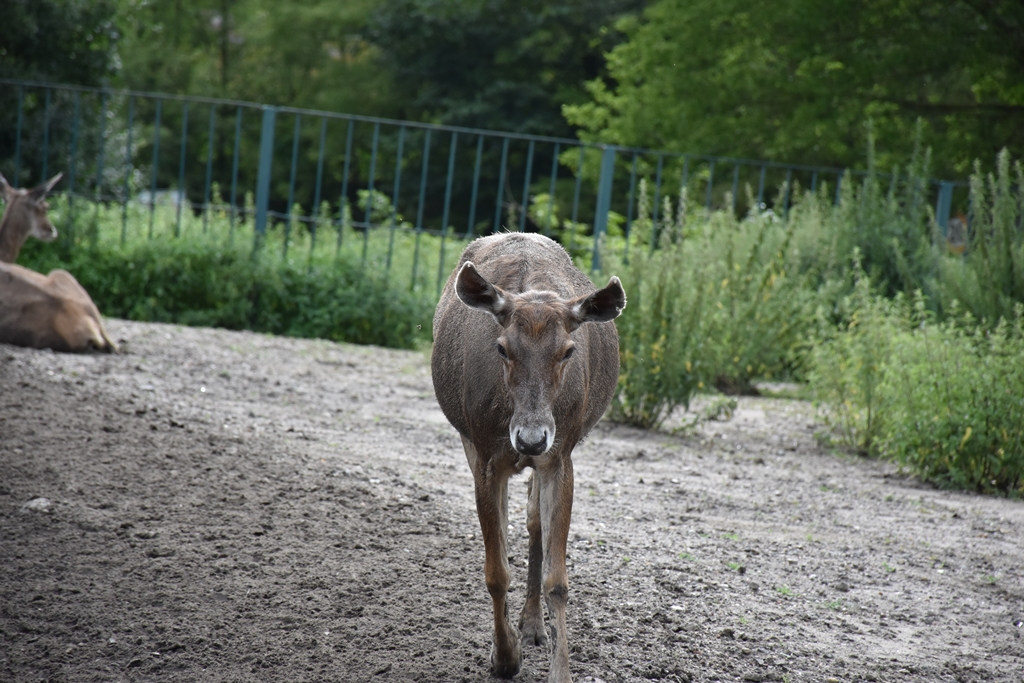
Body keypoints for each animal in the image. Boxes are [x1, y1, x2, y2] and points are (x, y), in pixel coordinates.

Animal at [432, 232, 625, 683]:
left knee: (534, 521)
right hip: (470, 441)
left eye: (568, 350)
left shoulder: (561, 456)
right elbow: (495, 570)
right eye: (502, 348)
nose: (531, 438)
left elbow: (558, 578)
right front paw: (504, 658)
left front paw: (560, 671)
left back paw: (533, 625)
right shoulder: (486, 455)